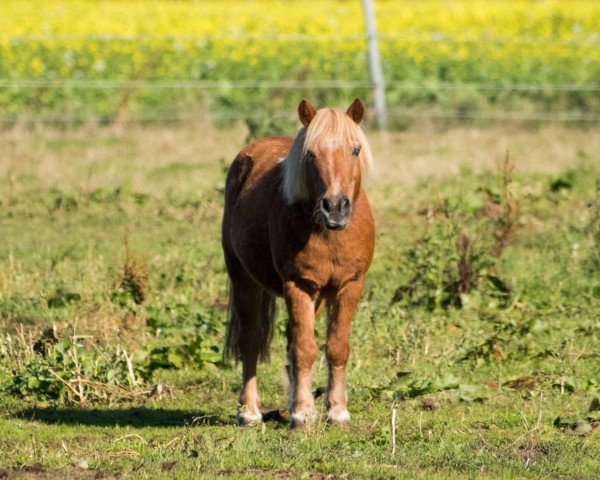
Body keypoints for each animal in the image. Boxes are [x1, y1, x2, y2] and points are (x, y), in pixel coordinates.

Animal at [220, 97, 376, 428]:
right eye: (311, 153)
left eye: (355, 149)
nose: (335, 207)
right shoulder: (298, 285)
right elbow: (304, 349)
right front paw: (302, 414)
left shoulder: (349, 286)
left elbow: (336, 348)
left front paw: (336, 411)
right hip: (243, 280)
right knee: (250, 340)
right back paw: (249, 411)